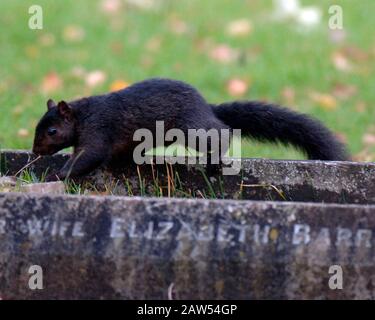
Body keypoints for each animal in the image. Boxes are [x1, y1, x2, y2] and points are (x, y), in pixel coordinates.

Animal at [32, 78, 350, 181]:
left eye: (52, 131)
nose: (35, 151)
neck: (82, 115)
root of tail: (205, 106)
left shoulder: (98, 130)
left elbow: (89, 155)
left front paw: (58, 174)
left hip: (192, 128)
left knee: (221, 133)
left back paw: (214, 161)